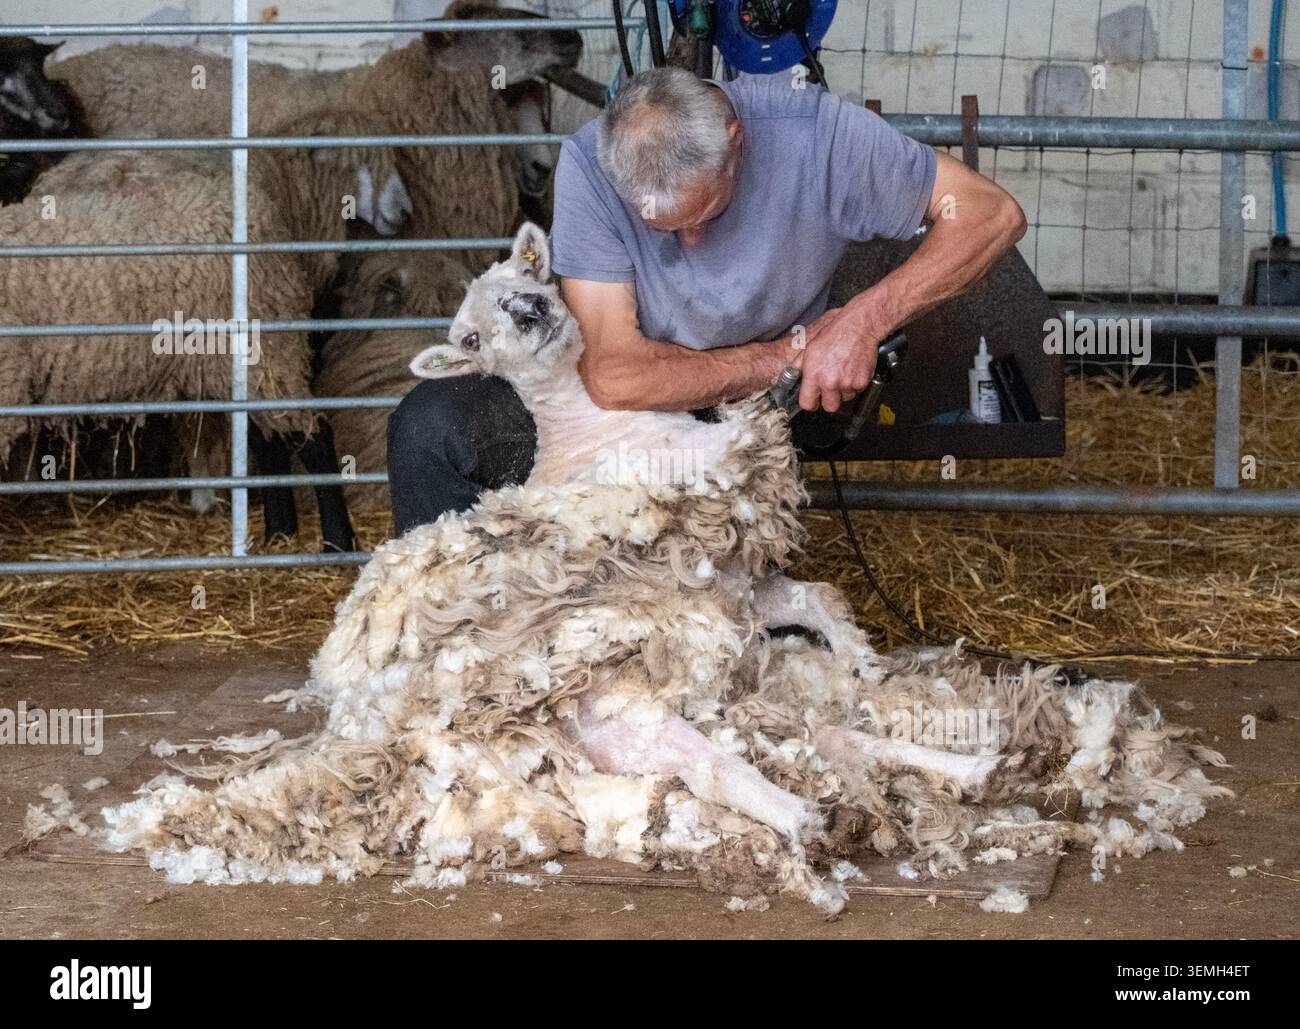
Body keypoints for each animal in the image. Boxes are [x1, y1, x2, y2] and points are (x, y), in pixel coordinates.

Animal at [93, 225, 1230, 911]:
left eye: (526, 281)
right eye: (468, 333)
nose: (525, 315)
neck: (593, 423)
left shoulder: (724, 579)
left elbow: (811, 596)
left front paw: (863, 651)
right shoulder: (696, 520)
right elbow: (754, 460)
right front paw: (790, 380)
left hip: (725, 703)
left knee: (829, 738)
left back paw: (966, 764)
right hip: (637, 722)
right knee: (738, 772)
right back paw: (812, 821)